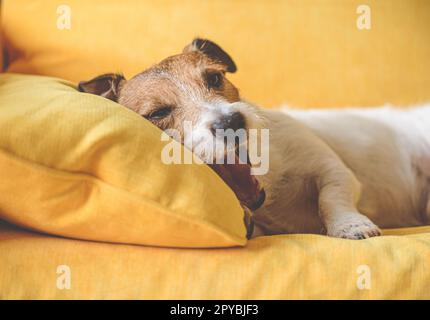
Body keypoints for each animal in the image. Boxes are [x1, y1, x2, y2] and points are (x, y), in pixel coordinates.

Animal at [78, 38, 430, 239]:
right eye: (158, 112)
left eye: (214, 77)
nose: (231, 122)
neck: (270, 186)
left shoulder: (333, 170)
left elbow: (332, 198)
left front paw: (350, 226)